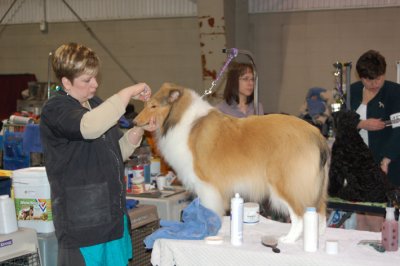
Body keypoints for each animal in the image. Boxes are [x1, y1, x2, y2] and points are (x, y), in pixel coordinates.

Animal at [134, 83, 328, 243]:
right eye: (146, 104)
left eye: (153, 106)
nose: (134, 122)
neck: (182, 120)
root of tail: (316, 135)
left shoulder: (207, 184)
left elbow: (209, 209)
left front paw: (208, 232)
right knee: (320, 213)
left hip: (286, 184)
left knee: (300, 214)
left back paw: (289, 238)